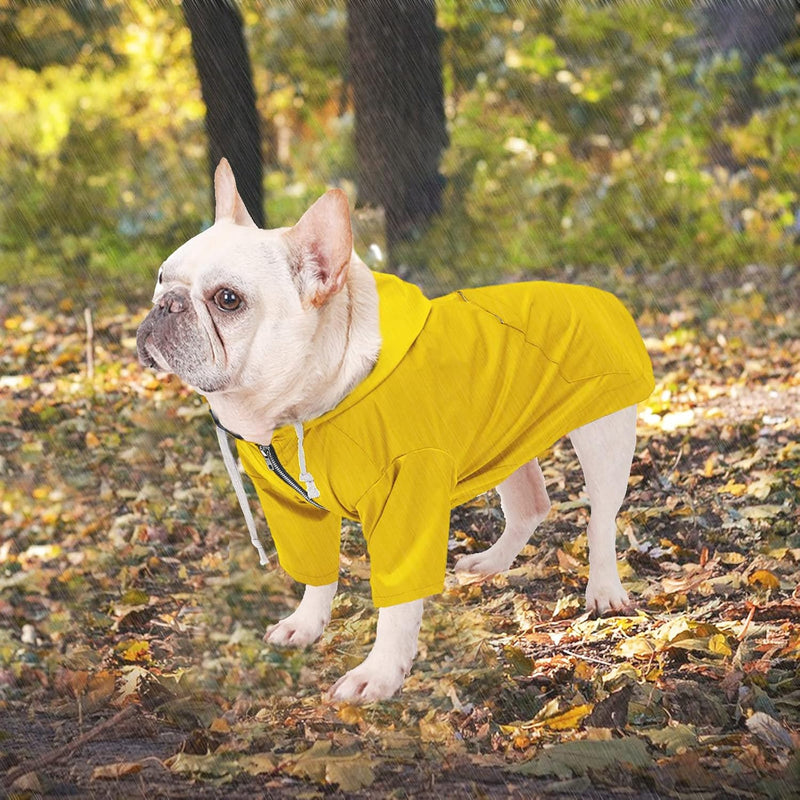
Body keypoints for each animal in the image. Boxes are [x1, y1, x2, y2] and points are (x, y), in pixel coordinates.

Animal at [136, 159, 648, 704]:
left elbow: (398, 605)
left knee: (600, 519)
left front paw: (379, 674)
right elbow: (318, 575)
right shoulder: (296, 512)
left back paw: (604, 590)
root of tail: (603, 297)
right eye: (162, 276)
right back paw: (491, 564)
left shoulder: (407, 505)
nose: (166, 304)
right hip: (507, 439)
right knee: (531, 504)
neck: (299, 410)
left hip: (603, 435)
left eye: (227, 300)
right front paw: (306, 625)